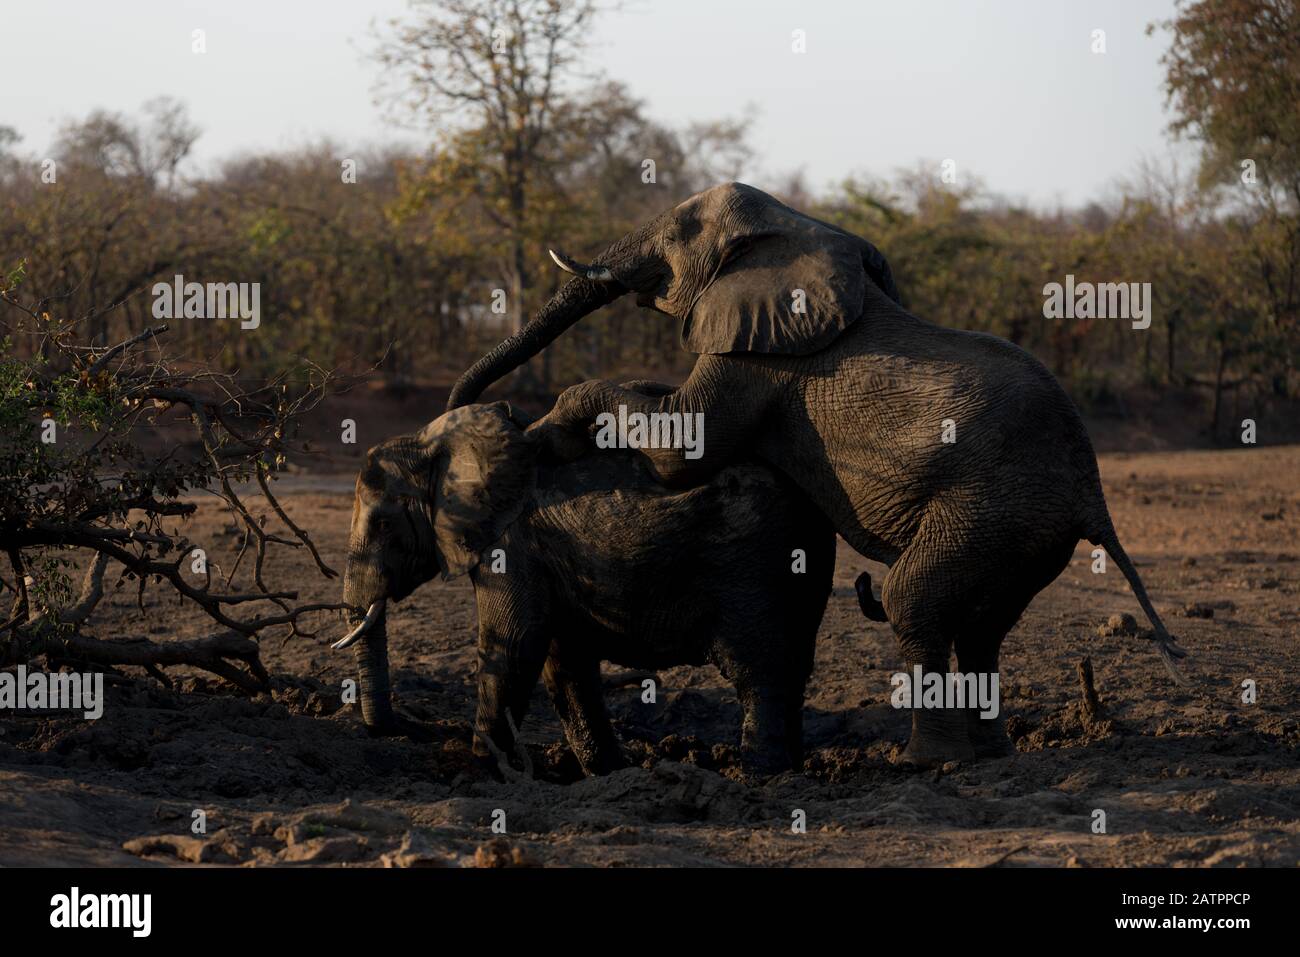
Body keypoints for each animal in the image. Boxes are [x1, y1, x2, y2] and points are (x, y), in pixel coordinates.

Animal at [335, 395, 837, 780]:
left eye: (383, 525)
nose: (412, 729)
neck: (434, 443)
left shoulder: (512, 542)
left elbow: (516, 644)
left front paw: (480, 768)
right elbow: (564, 658)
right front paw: (608, 772)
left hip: (752, 560)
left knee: (758, 668)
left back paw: (759, 775)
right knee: (793, 663)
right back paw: (792, 769)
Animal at [447, 180, 1190, 769]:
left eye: (678, 231)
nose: (491, 406)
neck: (798, 226)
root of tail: (1093, 492)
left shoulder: (756, 357)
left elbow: (682, 446)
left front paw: (545, 431)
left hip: (993, 509)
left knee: (913, 601)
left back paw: (925, 762)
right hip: (1025, 532)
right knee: (983, 628)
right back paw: (991, 754)